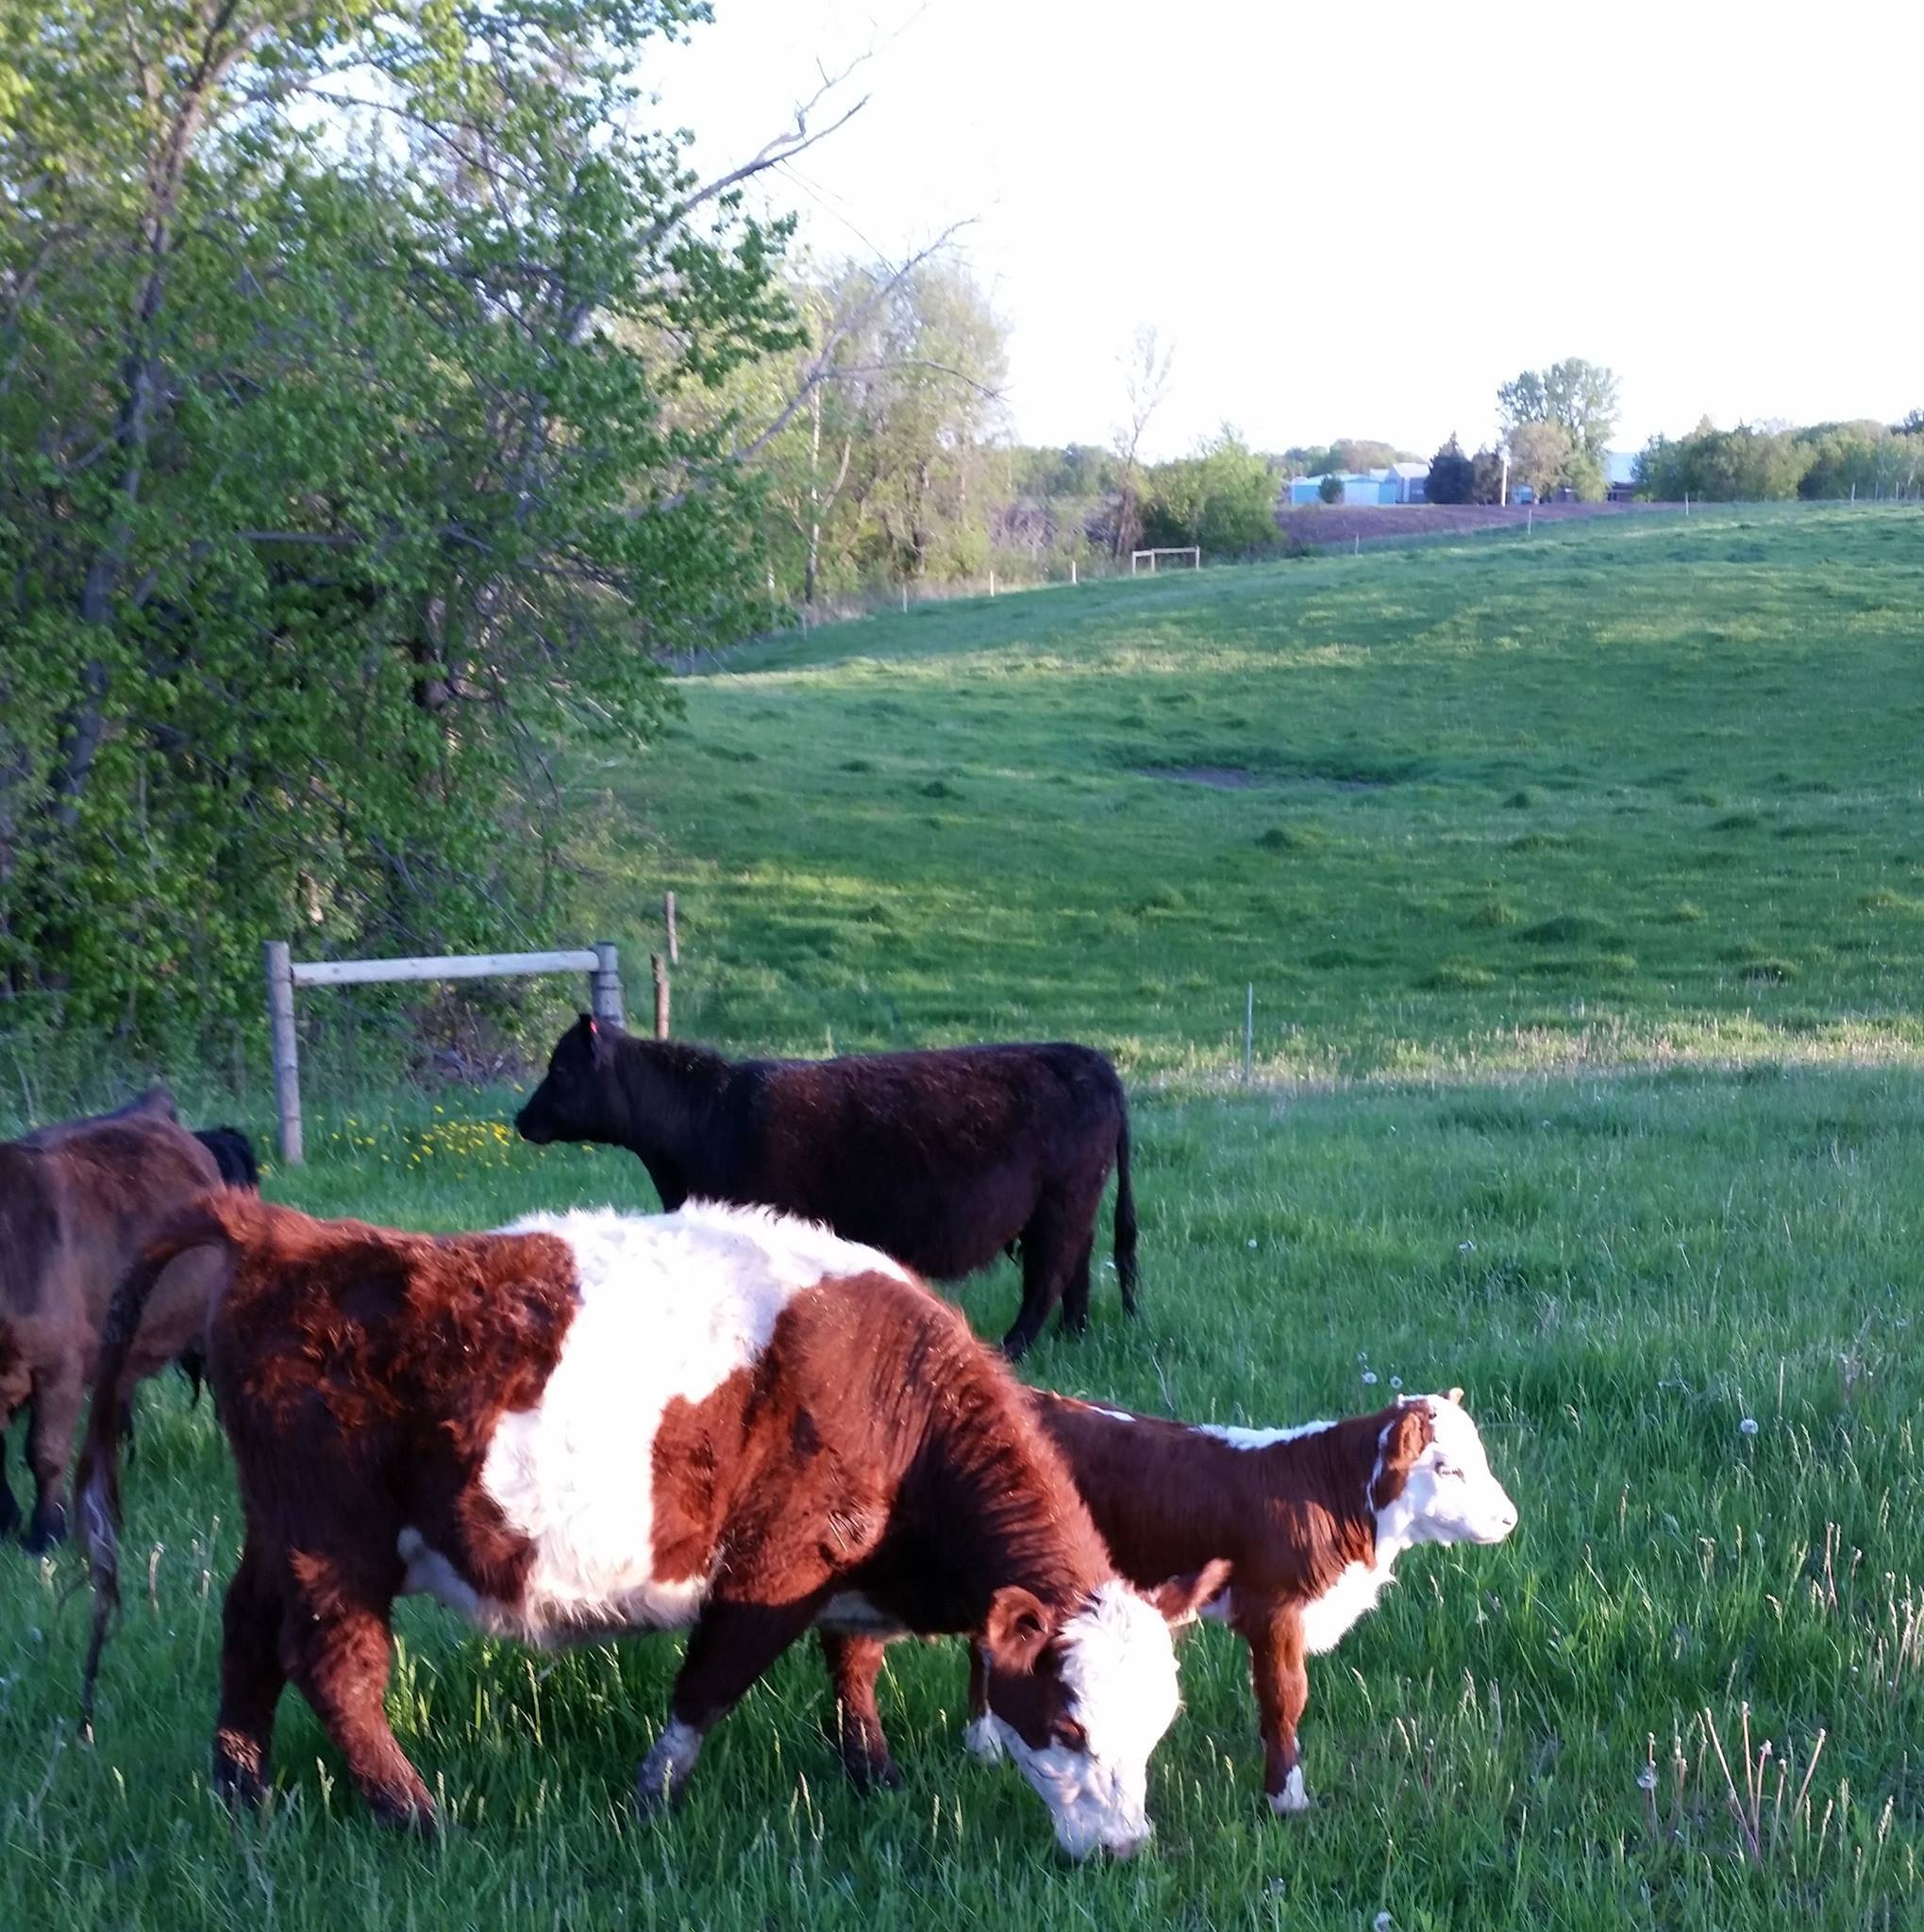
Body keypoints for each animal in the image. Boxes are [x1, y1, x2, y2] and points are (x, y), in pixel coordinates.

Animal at [78, 1194, 1225, 1858]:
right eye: (1067, 1725)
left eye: (1156, 1727)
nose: (1123, 1846)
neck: (898, 1393)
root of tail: (286, 1231)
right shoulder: (774, 1563)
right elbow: (709, 1682)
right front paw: (649, 1798)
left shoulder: (845, 1565)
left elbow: (851, 1664)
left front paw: (872, 1772)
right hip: (334, 1535)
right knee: (334, 1666)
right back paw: (417, 1816)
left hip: (277, 1528)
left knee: (246, 1635)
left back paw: (242, 1790)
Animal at [515, 1018, 1138, 1358]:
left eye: (561, 1070)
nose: (522, 1119)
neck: (709, 1116)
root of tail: (1092, 1060)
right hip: (1073, 1206)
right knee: (1076, 1273)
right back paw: (1073, 1336)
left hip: (1060, 1204)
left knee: (1047, 1279)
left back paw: (1012, 1349)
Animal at [960, 1390, 1518, 1817]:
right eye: (1447, 1469)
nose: (1510, 1518)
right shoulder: (1275, 1611)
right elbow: (1286, 1694)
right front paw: (1285, 1796)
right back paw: (983, 1741)